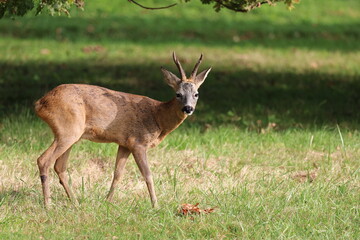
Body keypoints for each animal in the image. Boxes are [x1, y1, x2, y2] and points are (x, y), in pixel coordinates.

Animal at [34, 52, 211, 206]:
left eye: (196, 94)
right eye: (178, 94)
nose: (188, 108)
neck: (158, 117)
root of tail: (40, 103)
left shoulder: (124, 143)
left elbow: (117, 174)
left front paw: (107, 202)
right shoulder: (138, 142)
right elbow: (148, 175)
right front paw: (155, 205)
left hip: (72, 135)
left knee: (59, 166)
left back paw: (75, 203)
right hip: (67, 130)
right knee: (44, 160)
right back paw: (48, 205)